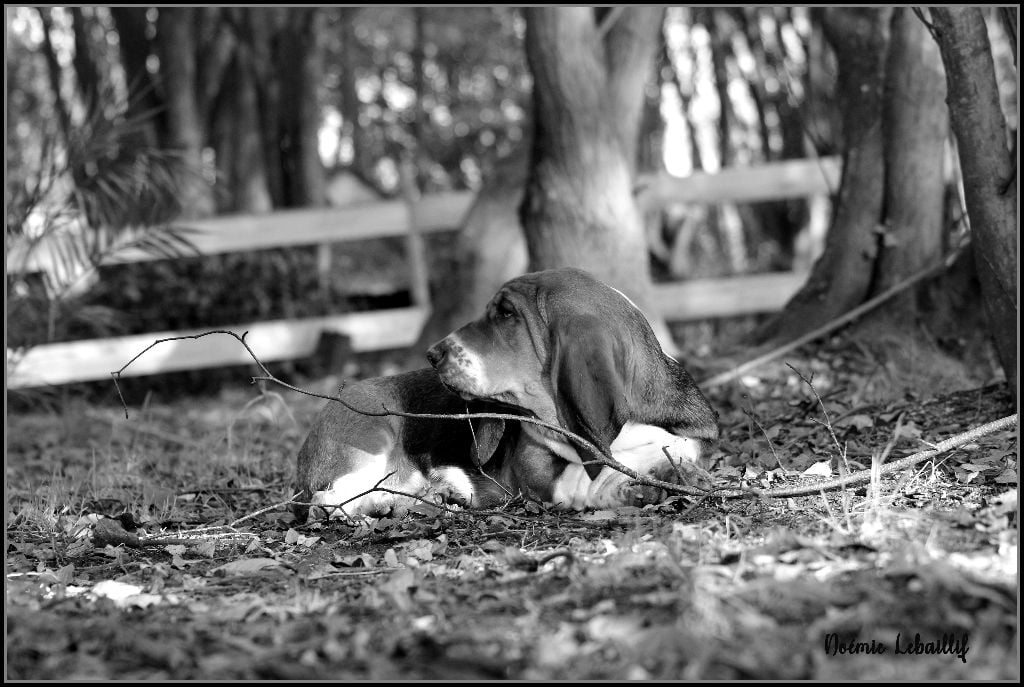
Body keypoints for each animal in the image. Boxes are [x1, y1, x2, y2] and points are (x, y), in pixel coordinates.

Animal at [293, 267, 719, 520]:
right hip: (369, 440)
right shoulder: (542, 474)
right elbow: (588, 478)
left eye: (507, 314)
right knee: (328, 500)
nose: (433, 354)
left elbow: (678, 446)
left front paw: (674, 472)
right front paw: (630, 485)